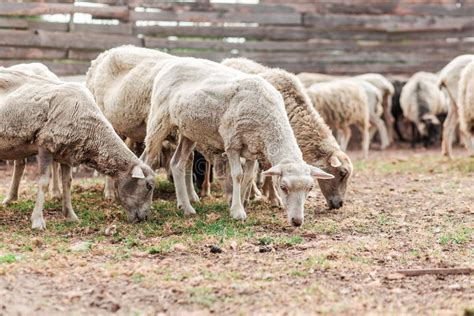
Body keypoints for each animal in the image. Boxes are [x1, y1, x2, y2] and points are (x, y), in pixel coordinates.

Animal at [0, 68, 156, 228]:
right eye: (149, 186)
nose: (145, 217)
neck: (92, 129)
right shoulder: (46, 145)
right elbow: (43, 183)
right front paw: (37, 221)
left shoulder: (66, 153)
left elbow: (67, 182)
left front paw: (71, 216)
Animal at [142, 55, 334, 226]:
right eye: (284, 187)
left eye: (310, 188)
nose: (297, 222)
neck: (269, 121)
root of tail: (171, 63)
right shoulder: (232, 143)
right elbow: (238, 175)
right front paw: (237, 211)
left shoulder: (253, 148)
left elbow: (248, 177)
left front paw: (240, 203)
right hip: (159, 120)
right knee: (147, 160)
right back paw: (147, 205)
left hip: (188, 131)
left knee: (177, 164)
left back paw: (186, 207)